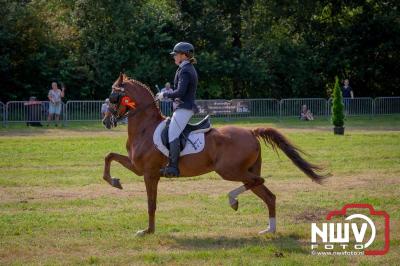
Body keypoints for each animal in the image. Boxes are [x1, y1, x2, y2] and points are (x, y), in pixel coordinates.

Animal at [103, 73, 328, 237]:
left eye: (113, 96)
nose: (106, 121)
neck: (145, 127)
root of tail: (250, 131)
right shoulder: (137, 167)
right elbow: (109, 156)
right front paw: (115, 182)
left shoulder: (150, 174)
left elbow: (151, 204)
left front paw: (147, 231)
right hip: (243, 171)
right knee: (268, 195)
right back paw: (269, 229)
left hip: (229, 171)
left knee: (258, 182)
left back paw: (233, 200)